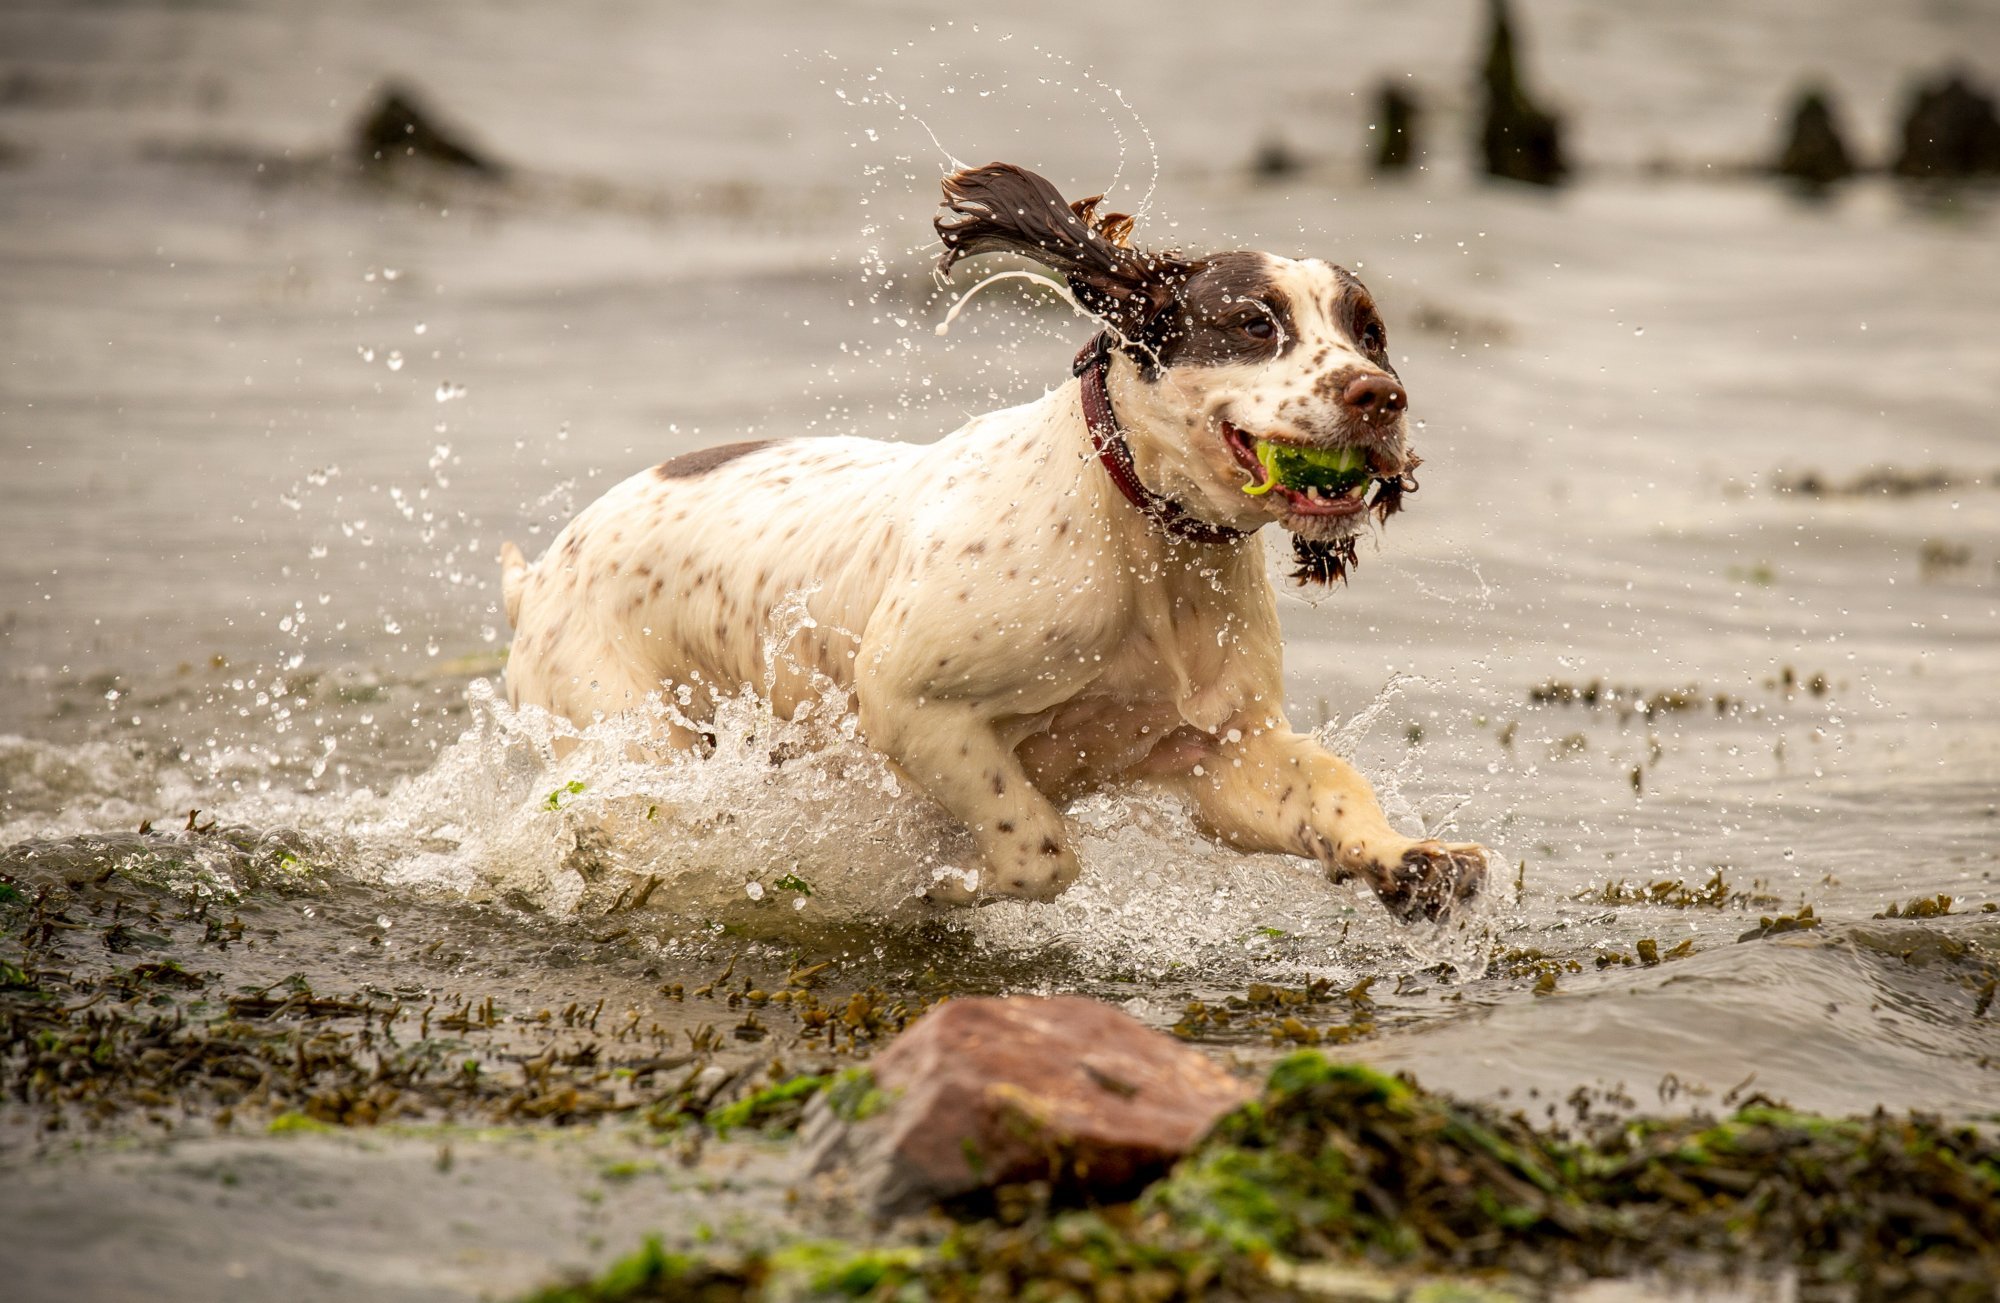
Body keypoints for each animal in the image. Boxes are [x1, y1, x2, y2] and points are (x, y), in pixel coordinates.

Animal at [504, 159, 1488, 915]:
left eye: (1372, 333)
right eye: (1254, 322)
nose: (1380, 397)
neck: (1145, 544)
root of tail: (544, 569)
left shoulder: (1222, 752)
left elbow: (1330, 787)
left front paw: (1413, 862)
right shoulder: (909, 700)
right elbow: (1042, 848)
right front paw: (953, 885)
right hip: (628, 731)